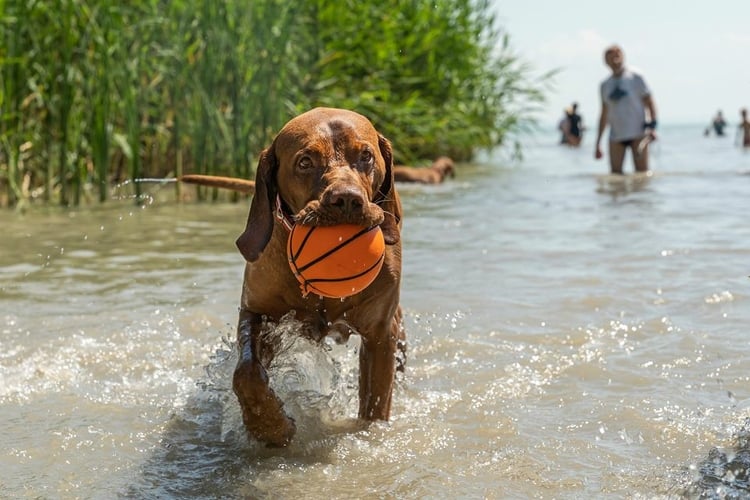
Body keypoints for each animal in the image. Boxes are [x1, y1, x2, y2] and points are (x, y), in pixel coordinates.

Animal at [234, 106, 406, 446]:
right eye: (305, 162)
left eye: (365, 156)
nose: (347, 199)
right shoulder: (256, 312)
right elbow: (246, 373)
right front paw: (271, 426)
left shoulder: (381, 333)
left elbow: (376, 405)